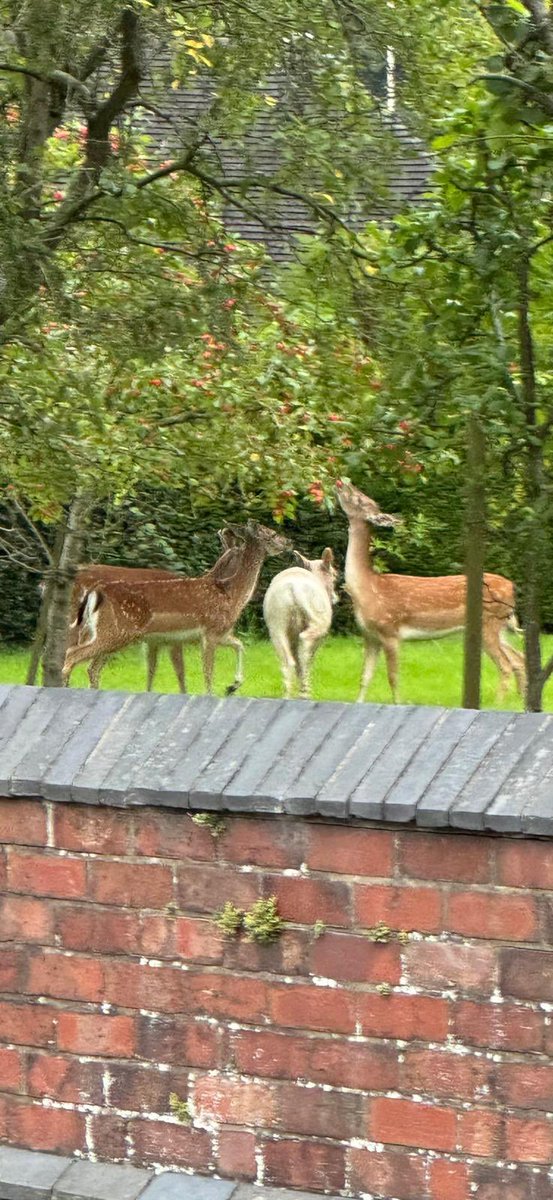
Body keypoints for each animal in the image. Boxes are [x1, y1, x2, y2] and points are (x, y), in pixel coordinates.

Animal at [62, 521, 291, 694]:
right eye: (271, 533)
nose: (288, 542)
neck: (230, 593)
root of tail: (95, 593)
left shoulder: (219, 633)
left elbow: (240, 646)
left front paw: (232, 686)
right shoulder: (209, 631)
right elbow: (207, 671)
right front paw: (212, 693)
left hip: (105, 632)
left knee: (86, 663)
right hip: (116, 630)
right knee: (73, 655)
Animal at [263, 548, 338, 698]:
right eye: (334, 576)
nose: (335, 598)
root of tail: (294, 588)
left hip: (277, 624)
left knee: (288, 662)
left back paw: (288, 696)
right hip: (317, 620)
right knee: (304, 646)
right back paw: (304, 693)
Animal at [337, 480, 526, 704]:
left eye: (359, 499)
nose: (342, 483)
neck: (367, 589)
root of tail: (511, 587)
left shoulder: (390, 630)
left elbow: (393, 677)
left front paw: (399, 703)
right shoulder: (369, 635)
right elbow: (365, 676)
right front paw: (358, 703)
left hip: (489, 623)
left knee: (506, 664)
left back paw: (498, 704)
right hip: (500, 625)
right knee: (519, 657)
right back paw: (520, 699)